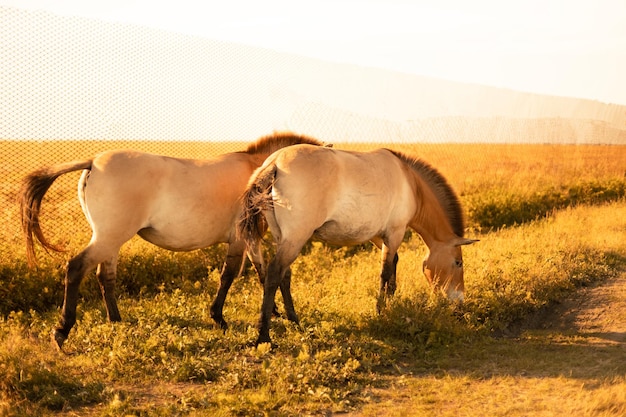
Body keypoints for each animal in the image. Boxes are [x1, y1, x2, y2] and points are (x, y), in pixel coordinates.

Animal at [19, 132, 322, 348]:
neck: (260, 169)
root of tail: (93, 161)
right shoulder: (241, 238)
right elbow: (232, 274)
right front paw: (220, 318)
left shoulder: (249, 239)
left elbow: (259, 271)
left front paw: (276, 312)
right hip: (108, 238)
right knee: (76, 268)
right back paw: (62, 330)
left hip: (110, 240)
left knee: (105, 277)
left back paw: (116, 321)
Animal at [236, 144, 476, 344]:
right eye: (458, 263)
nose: (459, 304)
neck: (410, 183)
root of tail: (274, 163)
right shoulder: (395, 232)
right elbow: (385, 271)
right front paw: (381, 311)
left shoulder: (379, 236)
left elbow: (393, 265)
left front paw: (391, 302)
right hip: (295, 238)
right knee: (274, 274)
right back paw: (264, 337)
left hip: (284, 238)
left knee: (284, 276)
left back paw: (295, 321)